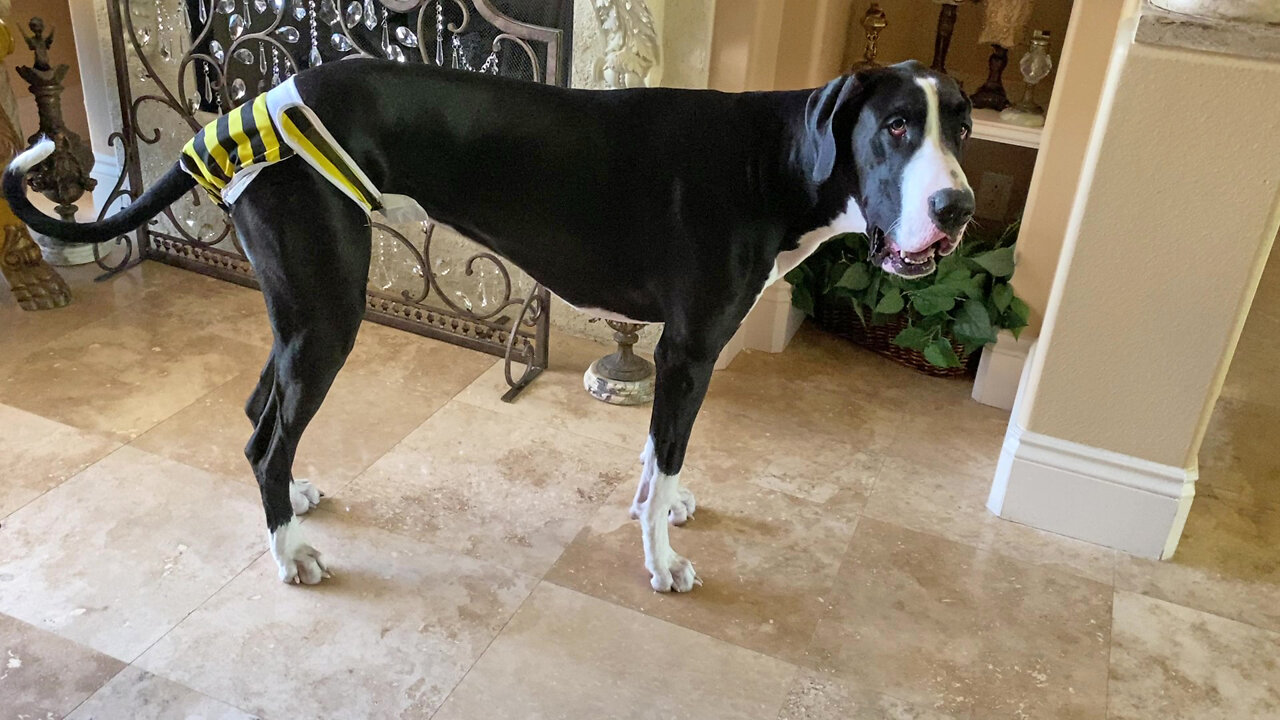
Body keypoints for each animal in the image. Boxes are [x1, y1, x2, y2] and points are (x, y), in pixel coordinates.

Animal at [5, 60, 972, 589]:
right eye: (896, 126)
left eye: (959, 128)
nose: (958, 208)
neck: (772, 157)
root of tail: (238, 113)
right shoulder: (691, 349)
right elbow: (667, 454)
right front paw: (661, 559)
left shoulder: (674, 354)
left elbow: (655, 455)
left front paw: (654, 503)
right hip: (329, 311)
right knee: (263, 437)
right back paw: (291, 555)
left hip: (301, 313)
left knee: (258, 415)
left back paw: (296, 503)